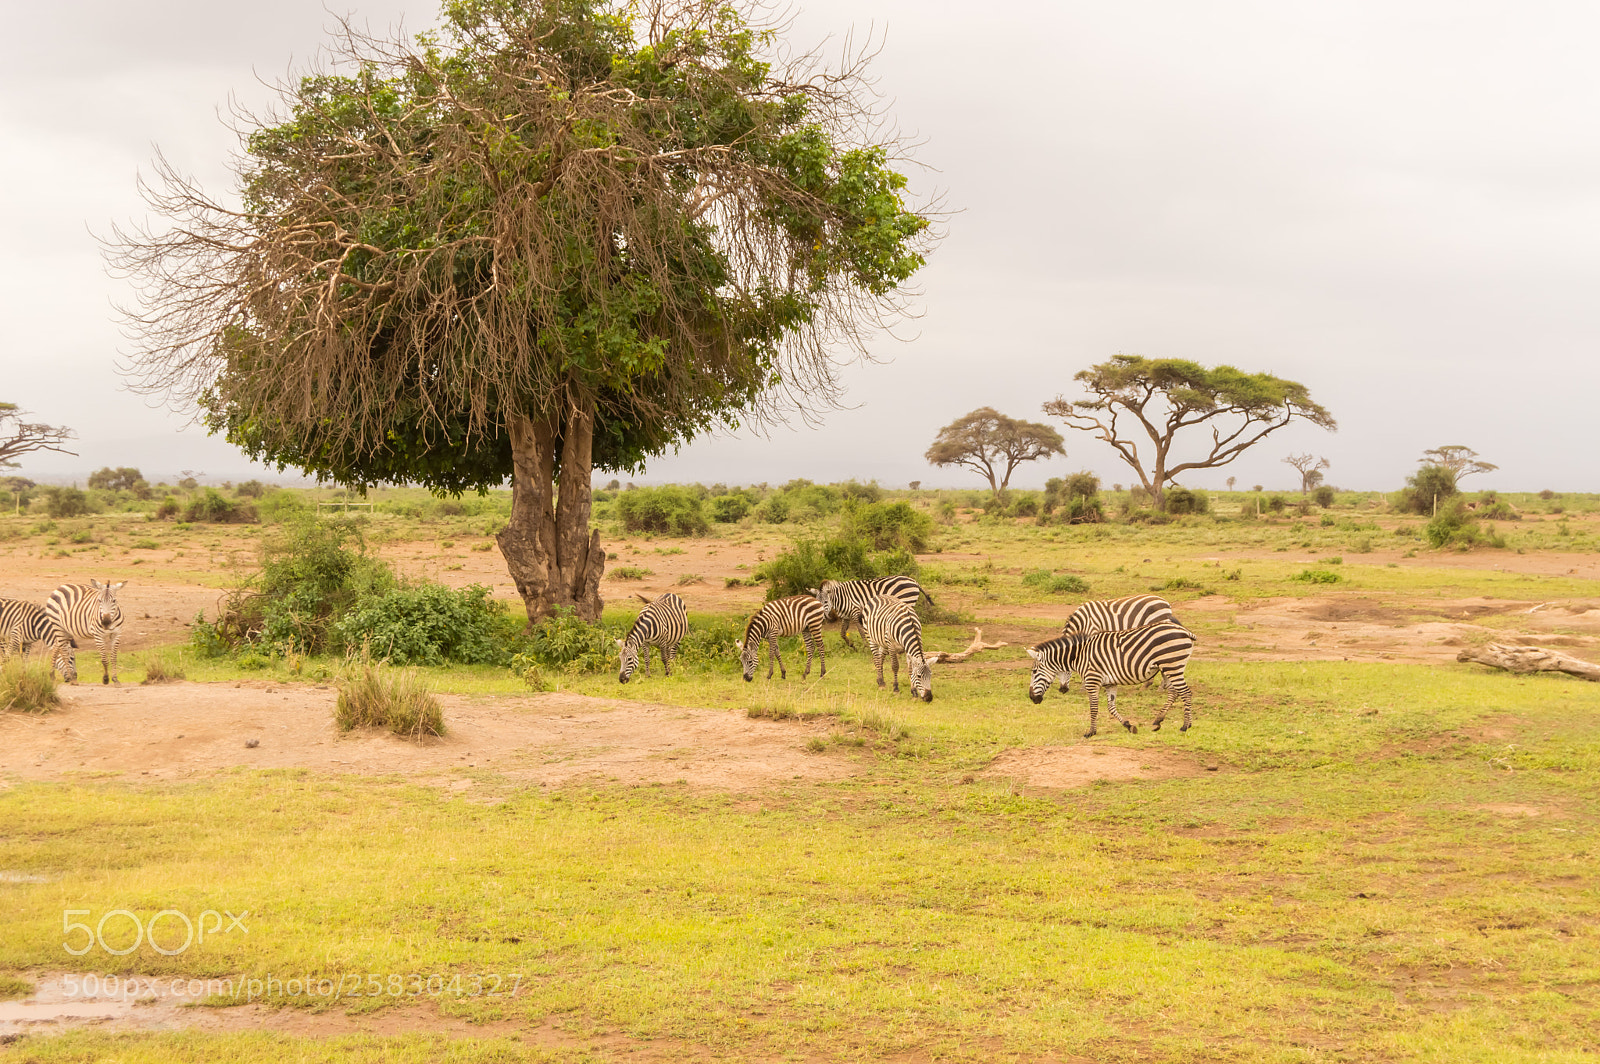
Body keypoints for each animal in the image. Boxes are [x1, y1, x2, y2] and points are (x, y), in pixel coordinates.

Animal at [1025, 621, 1195, 737]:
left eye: (1034, 671)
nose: (1032, 698)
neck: (1080, 656)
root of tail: (1185, 631)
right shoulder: (1110, 683)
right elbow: (1111, 707)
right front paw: (1128, 726)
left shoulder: (1092, 680)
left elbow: (1094, 708)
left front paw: (1091, 732)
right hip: (1169, 668)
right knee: (1174, 692)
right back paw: (1158, 721)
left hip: (1172, 665)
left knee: (1186, 693)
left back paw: (1185, 726)